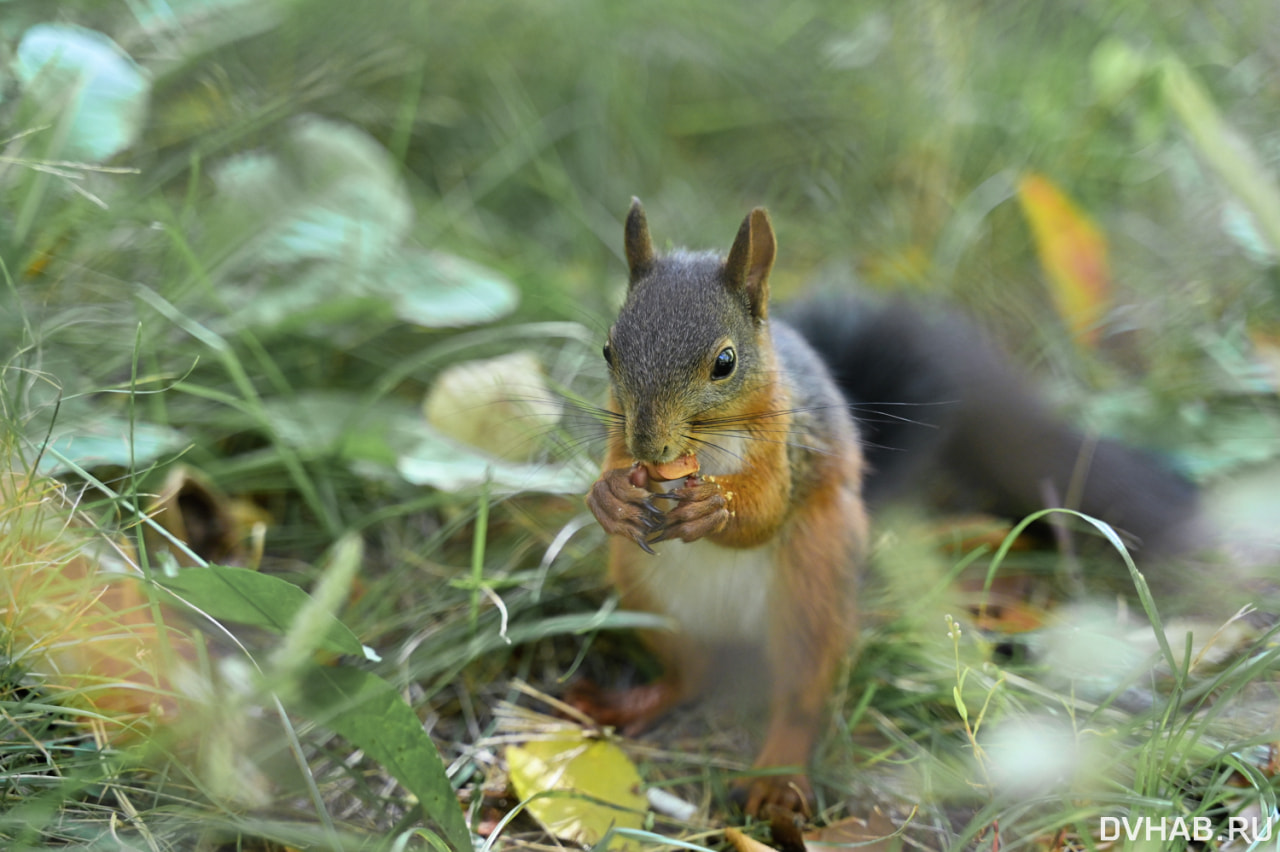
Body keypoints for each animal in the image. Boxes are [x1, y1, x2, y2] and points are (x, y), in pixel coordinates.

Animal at [578, 195, 1198, 813]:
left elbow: (766, 511)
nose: (649, 445)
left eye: (725, 363)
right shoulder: (620, 441)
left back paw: (779, 773)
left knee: (801, 696)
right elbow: (610, 469)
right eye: (608, 350)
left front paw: (714, 505)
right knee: (691, 674)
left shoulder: (790, 446)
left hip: (814, 586)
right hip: (647, 595)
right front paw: (608, 497)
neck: (705, 451)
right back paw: (631, 702)